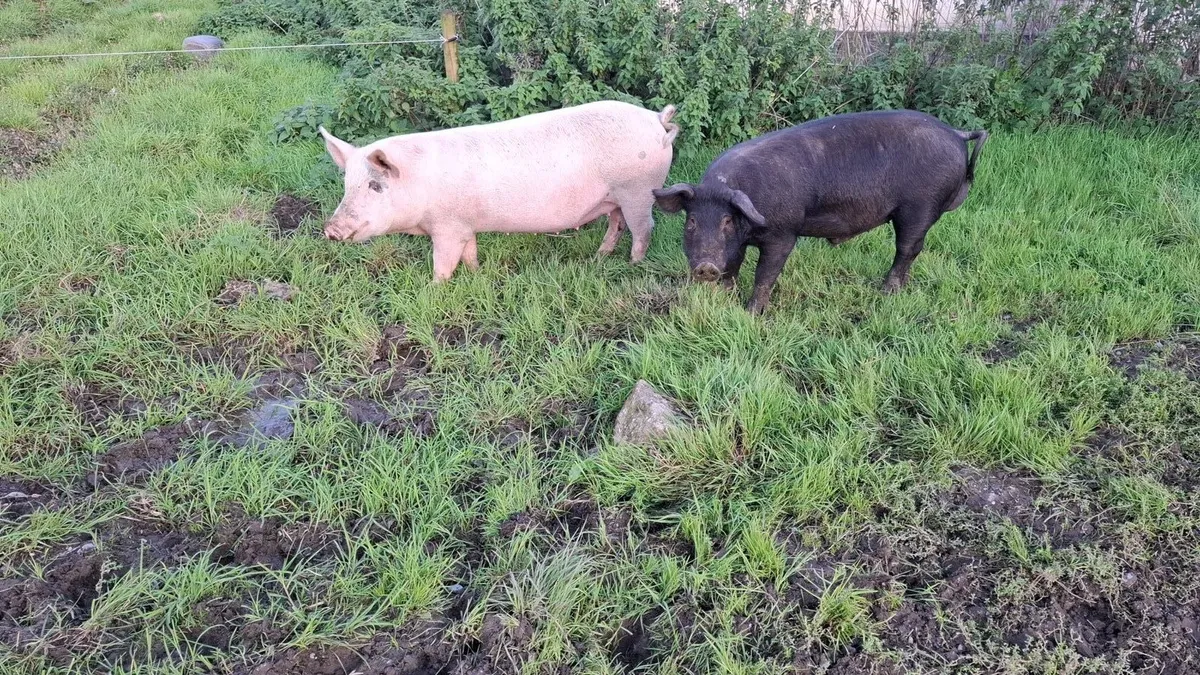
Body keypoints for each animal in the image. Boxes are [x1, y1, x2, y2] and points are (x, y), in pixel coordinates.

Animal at [318, 100, 680, 281]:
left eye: (375, 185)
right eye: (347, 185)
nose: (331, 229)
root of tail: (656, 119)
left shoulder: (447, 227)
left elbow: (442, 264)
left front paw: (434, 289)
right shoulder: (464, 226)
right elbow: (470, 253)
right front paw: (477, 274)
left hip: (638, 190)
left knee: (643, 228)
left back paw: (633, 265)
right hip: (615, 196)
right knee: (616, 224)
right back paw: (599, 258)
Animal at [652, 110, 988, 314]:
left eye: (726, 220)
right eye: (691, 221)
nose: (705, 266)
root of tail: (956, 133)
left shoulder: (783, 234)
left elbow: (765, 275)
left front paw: (752, 313)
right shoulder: (738, 245)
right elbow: (733, 267)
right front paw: (725, 299)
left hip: (919, 207)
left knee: (907, 248)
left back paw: (886, 293)